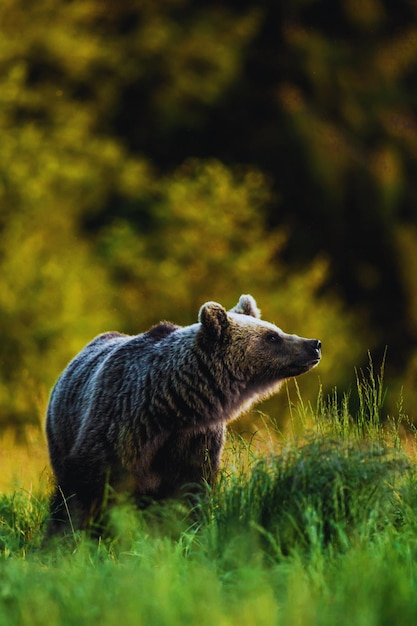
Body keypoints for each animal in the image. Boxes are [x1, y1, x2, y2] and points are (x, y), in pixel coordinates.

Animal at [45, 292, 320, 532]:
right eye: (272, 337)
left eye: (274, 329)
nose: (314, 344)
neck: (171, 407)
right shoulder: (118, 428)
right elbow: (82, 489)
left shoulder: (194, 441)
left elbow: (190, 494)